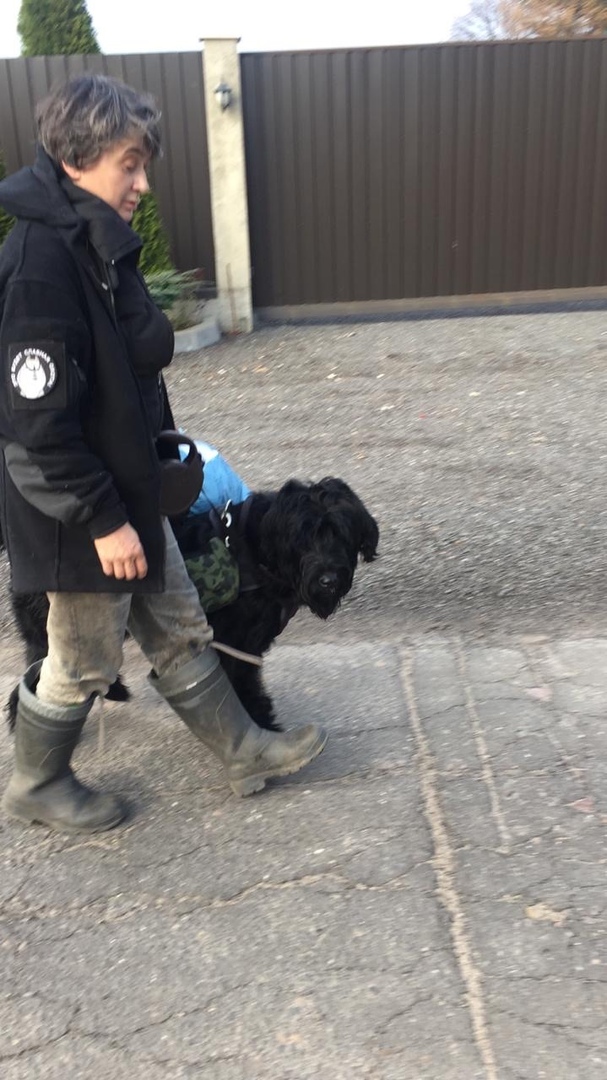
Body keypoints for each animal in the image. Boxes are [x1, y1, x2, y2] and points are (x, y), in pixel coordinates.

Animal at [5, 477, 379, 731]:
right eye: (303, 538)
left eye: (341, 534)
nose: (328, 579)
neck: (258, 551)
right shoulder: (232, 642)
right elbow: (237, 684)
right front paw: (258, 725)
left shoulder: (244, 645)